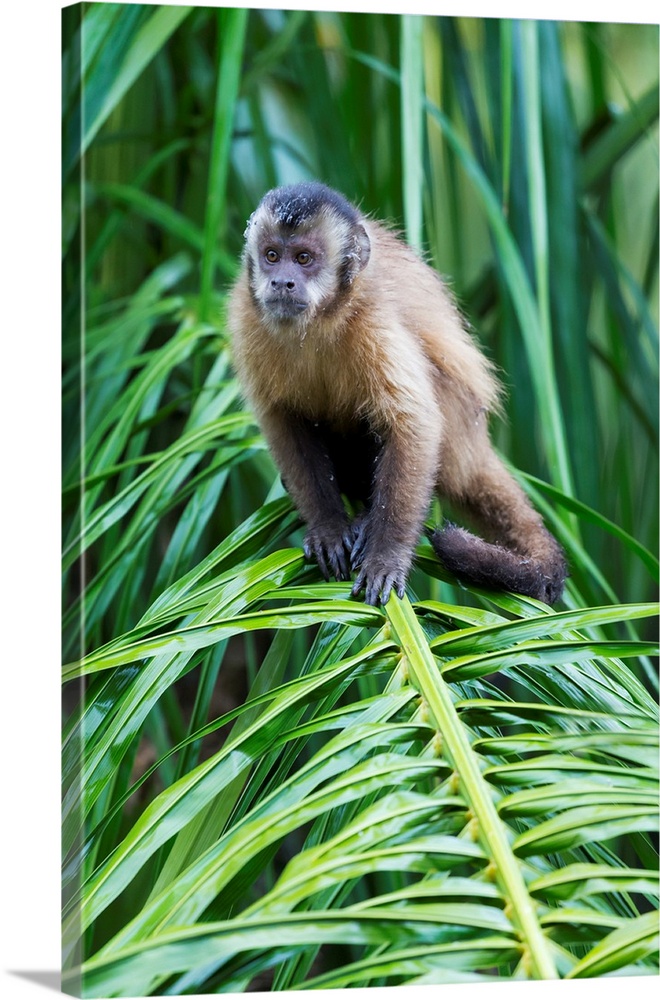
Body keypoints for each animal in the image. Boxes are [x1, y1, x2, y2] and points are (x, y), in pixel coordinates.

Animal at [228, 183, 568, 604]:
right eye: (272, 256)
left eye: (304, 259)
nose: (282, 282)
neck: (319, 321)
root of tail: (474, 450)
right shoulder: (245, 318)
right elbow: (282, 420)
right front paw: (327, 526)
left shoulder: (374, 320)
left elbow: (412, 425)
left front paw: (386, 555)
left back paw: (367, 518)